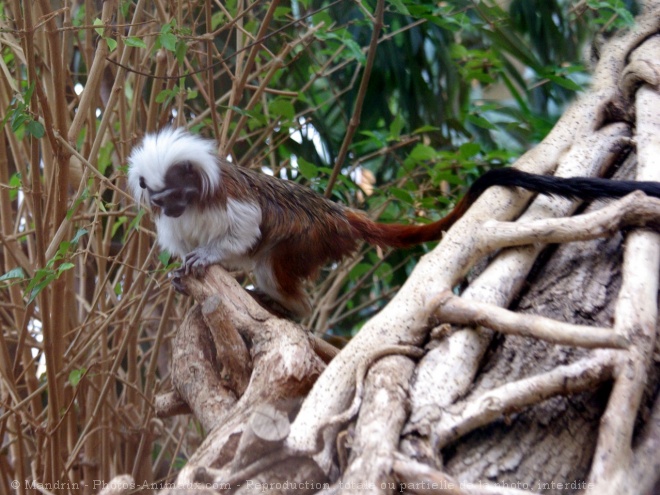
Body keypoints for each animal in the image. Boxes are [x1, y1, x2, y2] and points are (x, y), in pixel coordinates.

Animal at [127, 128, 660, 318]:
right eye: (158, 197)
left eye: (175, 194)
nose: (167, 208)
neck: (194, 205)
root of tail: (338, 213)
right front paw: (181, 271)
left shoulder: (228, 202)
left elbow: (247, 229)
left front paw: (206, 259)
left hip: (310, 238)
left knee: (272, 262)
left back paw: (289, 306)